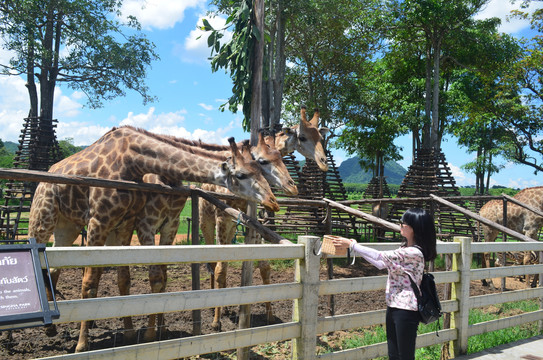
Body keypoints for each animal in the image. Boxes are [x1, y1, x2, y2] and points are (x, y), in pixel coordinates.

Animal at [27, 126, 278, 352]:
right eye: (242, 175)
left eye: (259, 168)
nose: (273, 202)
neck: (132, 161)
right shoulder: (104, 221)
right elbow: (90, 283)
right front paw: (83, 345)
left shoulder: (130, 224)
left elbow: (132, 279)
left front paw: (137, 332)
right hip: (42, 219)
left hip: (67, 226)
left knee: (53, 268)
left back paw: (54, 328)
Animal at [203, 106, 332, 330]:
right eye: (303, 137)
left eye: (320, 137)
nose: (323, 163)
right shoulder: (222, 218)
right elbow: (220, 268)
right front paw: (216, 322)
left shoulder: (254, 222)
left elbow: (264, 266)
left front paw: (269, 316)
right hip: (208, 221)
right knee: (212, 263)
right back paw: (215, 308)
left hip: (230, 227)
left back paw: (225, 307)